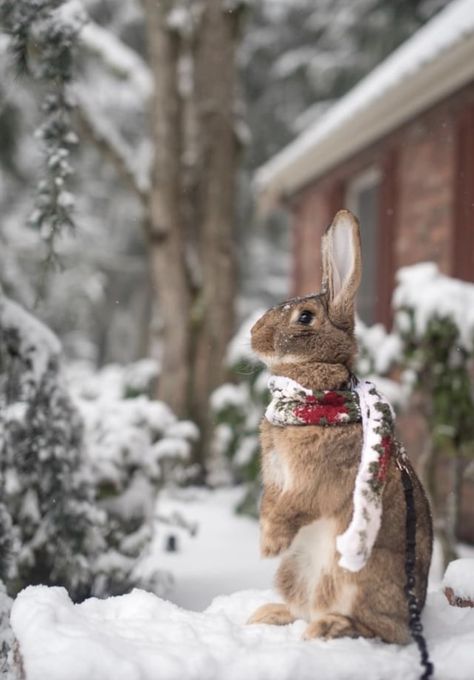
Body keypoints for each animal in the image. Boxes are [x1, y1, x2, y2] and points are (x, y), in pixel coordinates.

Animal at [248, 210, 434, 644]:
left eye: (304, 317)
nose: (253, 336)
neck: (315, 393)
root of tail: (411, 618)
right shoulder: (276, 480)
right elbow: (270, 504)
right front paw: (266, 542)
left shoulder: (311, 483)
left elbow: (293, 505)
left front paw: (269, 545)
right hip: (295, 573)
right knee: (301, 606)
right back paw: (269, 614)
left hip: (356, 576)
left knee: (375, 629)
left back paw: (328, 627)